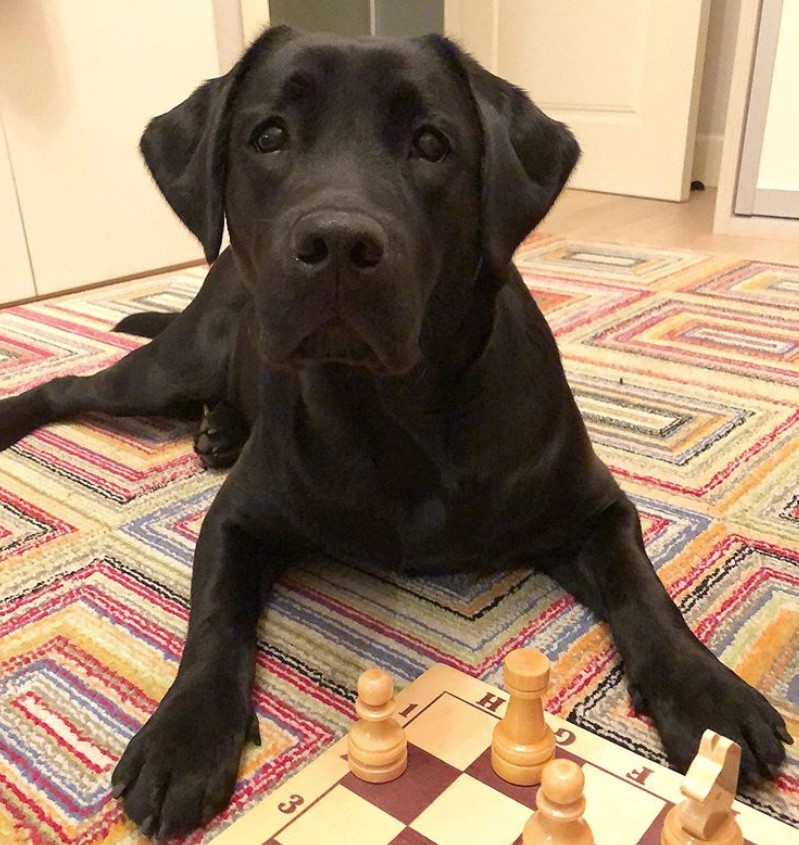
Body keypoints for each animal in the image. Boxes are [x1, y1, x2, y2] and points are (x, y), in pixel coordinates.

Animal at [0, 26, 792, 836]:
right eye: (269, 136)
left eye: (431, 144)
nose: (337, 242)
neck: (393, 411)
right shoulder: (236, 520)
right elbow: (214, 619)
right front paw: (184, 735)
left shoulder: (590, 508)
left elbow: (646, 591)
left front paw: (708, 695)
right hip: (176, 364)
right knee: (72, 386)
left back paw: (219, 430)